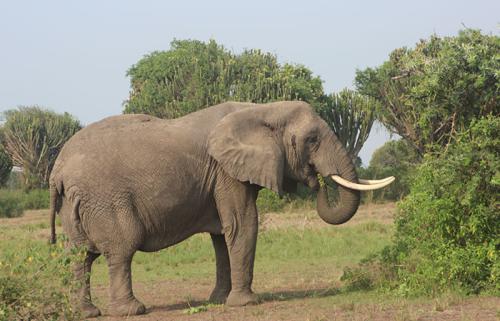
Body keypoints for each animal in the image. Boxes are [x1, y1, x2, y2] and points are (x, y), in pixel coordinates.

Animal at [49, 101, 394, 316]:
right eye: (311, 140)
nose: (317, 180)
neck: (261, 109)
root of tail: (58, 171)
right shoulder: (227, 172)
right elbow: (243, 225)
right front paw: (247, 303)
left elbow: (221, 236)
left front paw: (217, 301)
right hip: (106, 199)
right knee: (121, 248)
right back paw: (133, 310)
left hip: (76, 204)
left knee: (79, 255)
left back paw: (87, 312)